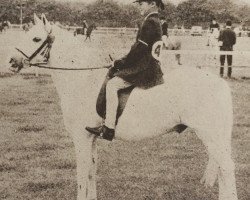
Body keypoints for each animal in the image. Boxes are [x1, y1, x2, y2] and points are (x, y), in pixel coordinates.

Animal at [8, 14, 238, 200]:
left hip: (210, 135)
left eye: (36, 39)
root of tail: (219, 83)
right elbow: (91, 172)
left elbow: (82, 176)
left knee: (227, 168)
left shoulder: (81, 138)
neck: (82, 79)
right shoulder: (91, 138)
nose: (12, 62)